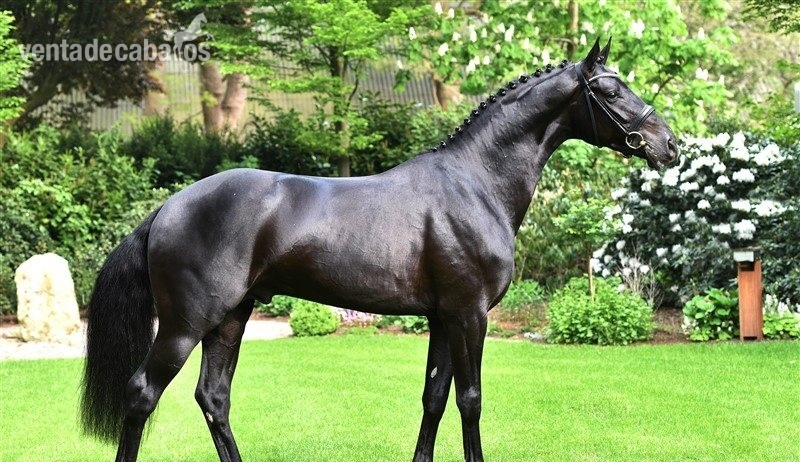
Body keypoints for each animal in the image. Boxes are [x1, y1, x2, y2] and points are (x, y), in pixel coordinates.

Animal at [80, 39, 678, 462]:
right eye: (612, 90)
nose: (668, 145)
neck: (475, 182)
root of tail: (166, 208)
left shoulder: (443, 317)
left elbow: (435, 398)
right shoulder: (470, 314)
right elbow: (470, 399)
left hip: (231, 316)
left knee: (214, 398)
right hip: (185, 325)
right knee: (142, 394)